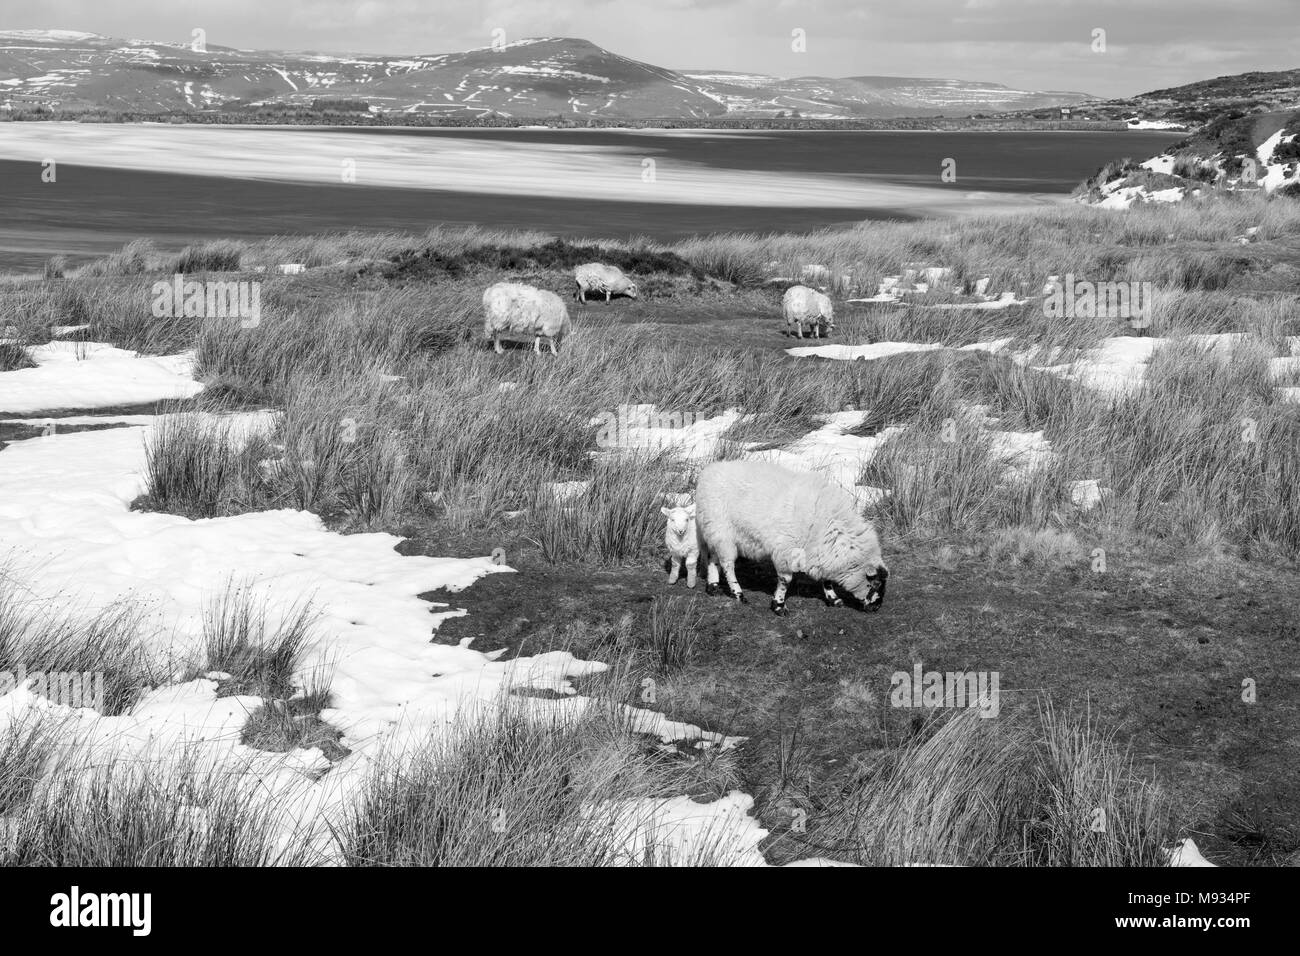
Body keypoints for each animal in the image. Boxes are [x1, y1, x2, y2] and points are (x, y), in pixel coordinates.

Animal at [696, 463, 889, 613]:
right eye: (876, 584)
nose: (877, 607)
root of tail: (706, 472)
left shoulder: (821, 551)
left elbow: (826, 580)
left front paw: (833, 599)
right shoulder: (786, 551)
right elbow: (785, 580)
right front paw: (779, 606)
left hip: (714, 531)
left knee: (713, 558)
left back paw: (713, 587)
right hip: (722, 531)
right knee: (728, 565)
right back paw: (738, 594)